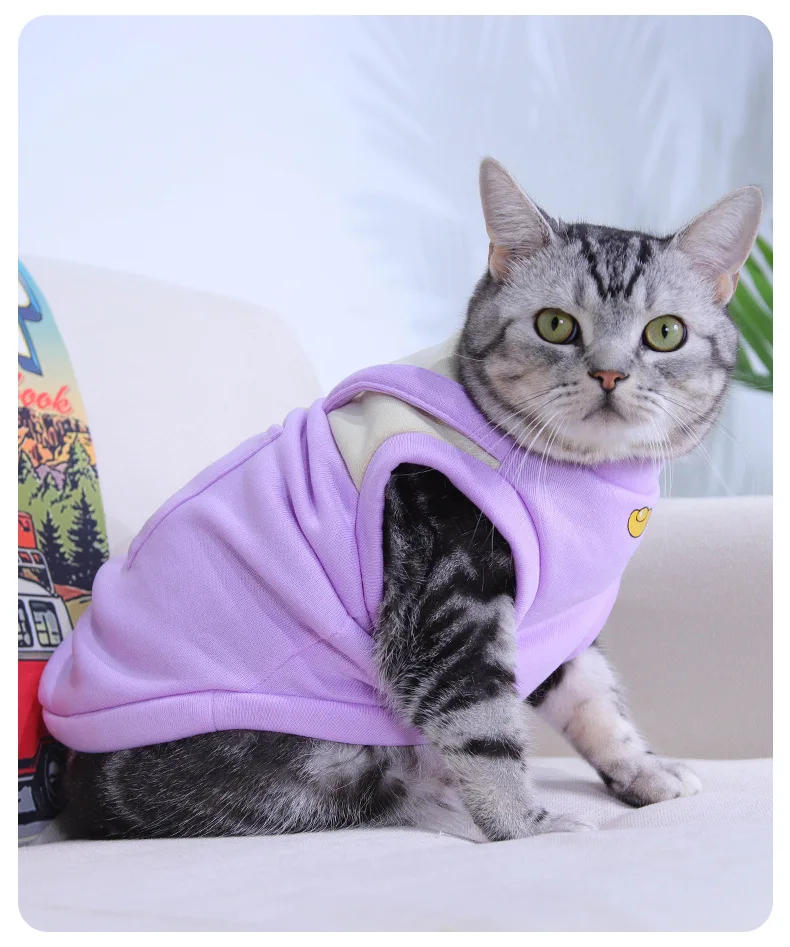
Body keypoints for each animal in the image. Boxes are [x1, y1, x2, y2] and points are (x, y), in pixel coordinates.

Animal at [61, 158, 762, 843]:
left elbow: (595, 701)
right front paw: (528, 827)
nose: (610, 373)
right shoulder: (451, 600)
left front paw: (643, 772)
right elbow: (484, 730)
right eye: (556, 325)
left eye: (665, 333)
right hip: (318, 752)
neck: (586, 475)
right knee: (377, 791)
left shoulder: (555, 624)